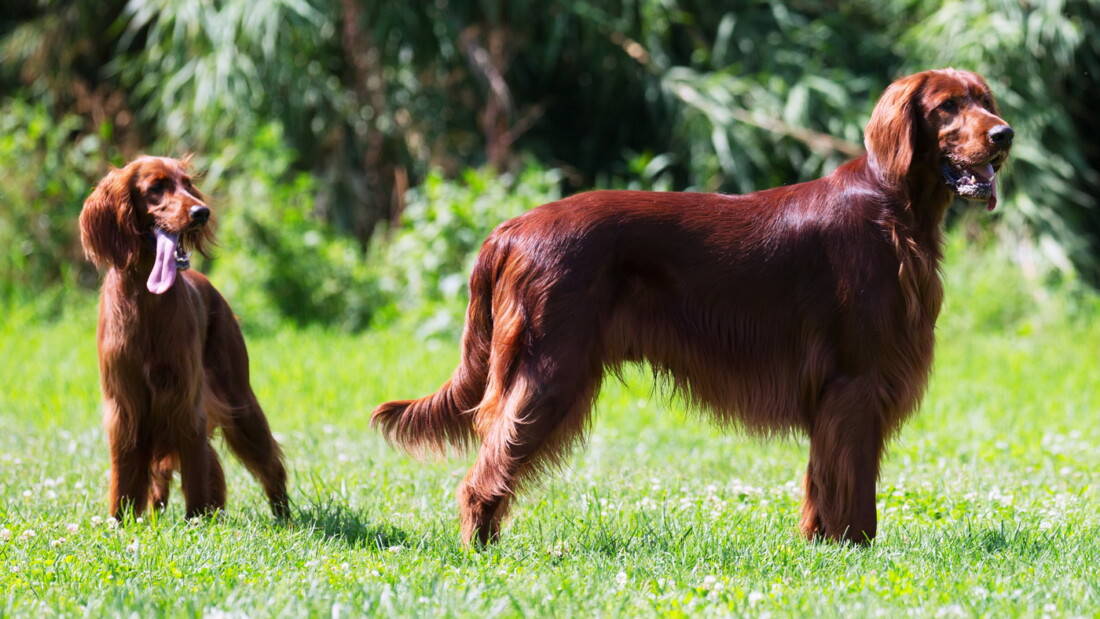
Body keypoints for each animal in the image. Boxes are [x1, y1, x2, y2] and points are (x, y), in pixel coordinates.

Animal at [81, 155, 290, 518]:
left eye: (188, 184)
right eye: (156, 187)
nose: (201, 212)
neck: (146, 300)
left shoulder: (184, 400)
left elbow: (196, 469)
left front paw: (197, 519)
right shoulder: (125, 407)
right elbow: (125, 476)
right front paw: (120, 521)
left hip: (239, 397)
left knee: (267, 463)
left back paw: (282, 516)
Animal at [376, 68, 1012, 547]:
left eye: (985, 101)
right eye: (948, 107)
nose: (1005, 135)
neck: (894, 207)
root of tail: (509, 229)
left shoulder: (835, 394)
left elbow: (821, 481)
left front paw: (819, 546)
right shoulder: (856, 381)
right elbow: (855, 490)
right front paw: (856, 550)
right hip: (550, 370)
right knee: (486, 468)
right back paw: (479, 551)